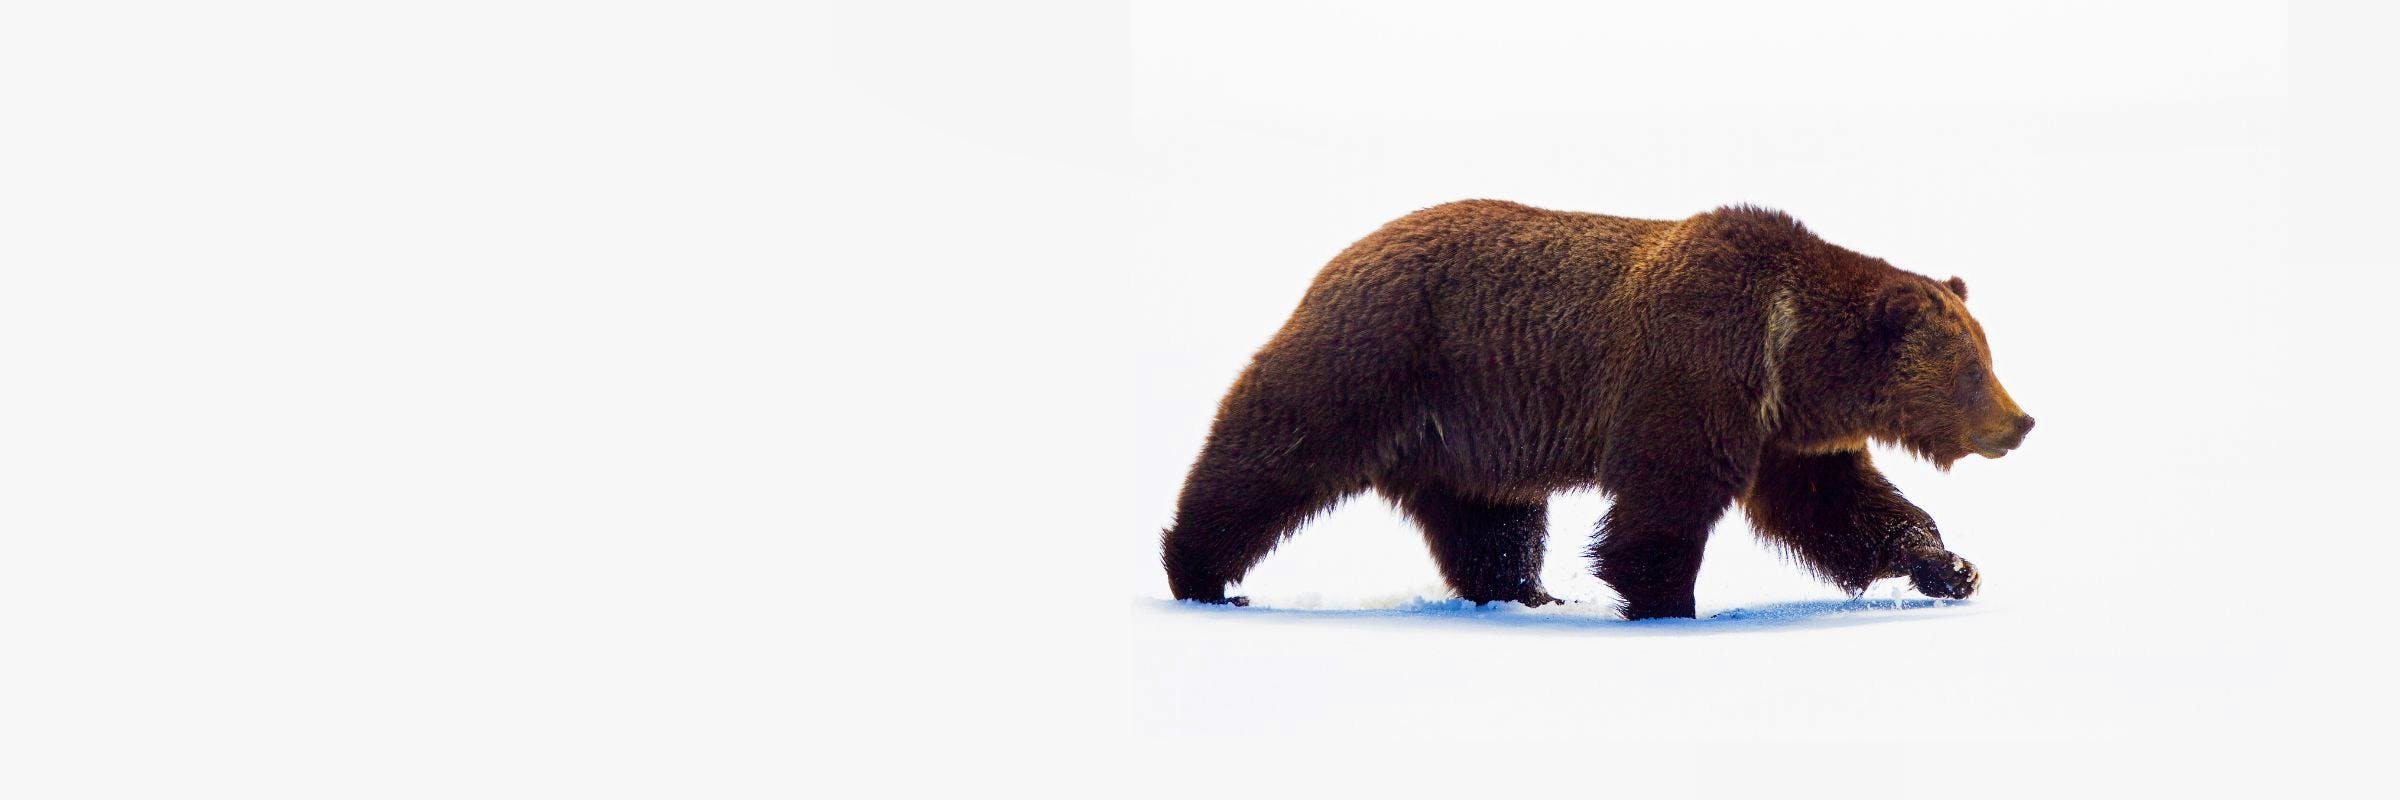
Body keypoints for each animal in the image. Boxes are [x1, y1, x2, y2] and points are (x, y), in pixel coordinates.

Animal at [1159, 200, 2034, 619]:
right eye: (1971, 369)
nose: (2020, 422)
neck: (1789, 352)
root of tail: (1340, 256)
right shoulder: (1694, 371)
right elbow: (1664, 507)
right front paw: (1668, 602)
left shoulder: (1784, 428)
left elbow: (1839, 506)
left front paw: (1949, 566)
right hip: (1382, 359)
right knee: (1273, 454)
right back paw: (1201, 573)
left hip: (1467, 431)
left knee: (1490, 519)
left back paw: (1527, 591)